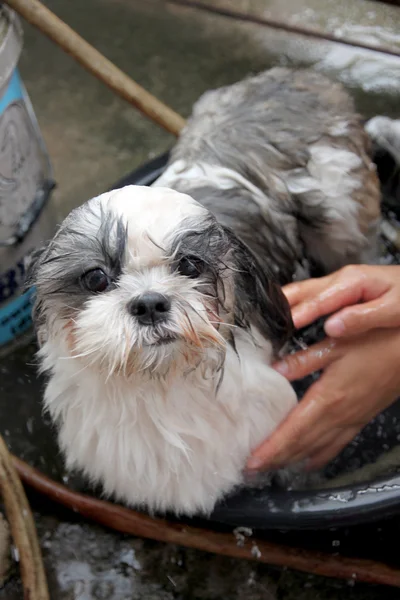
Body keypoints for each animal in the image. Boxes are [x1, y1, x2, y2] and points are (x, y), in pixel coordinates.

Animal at [26, 67, 382, 516]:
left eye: (190, 265)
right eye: (95, 278)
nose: (149, 303)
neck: (161, 388)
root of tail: (295, 76)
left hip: (341, 220)